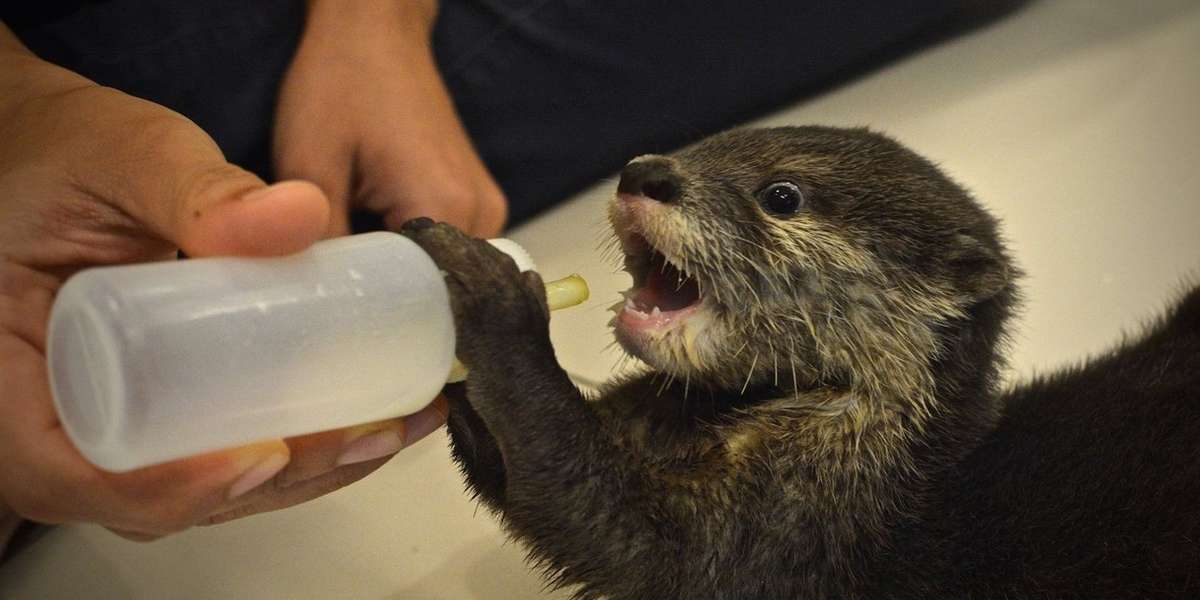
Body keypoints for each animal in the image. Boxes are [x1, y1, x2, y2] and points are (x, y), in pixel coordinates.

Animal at [403, 127, 1200, 600]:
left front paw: (490, 295)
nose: (644, 172)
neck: (877, 476)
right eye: (709, 144)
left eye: (781, 196)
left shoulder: (788, 534)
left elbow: (610, 524)